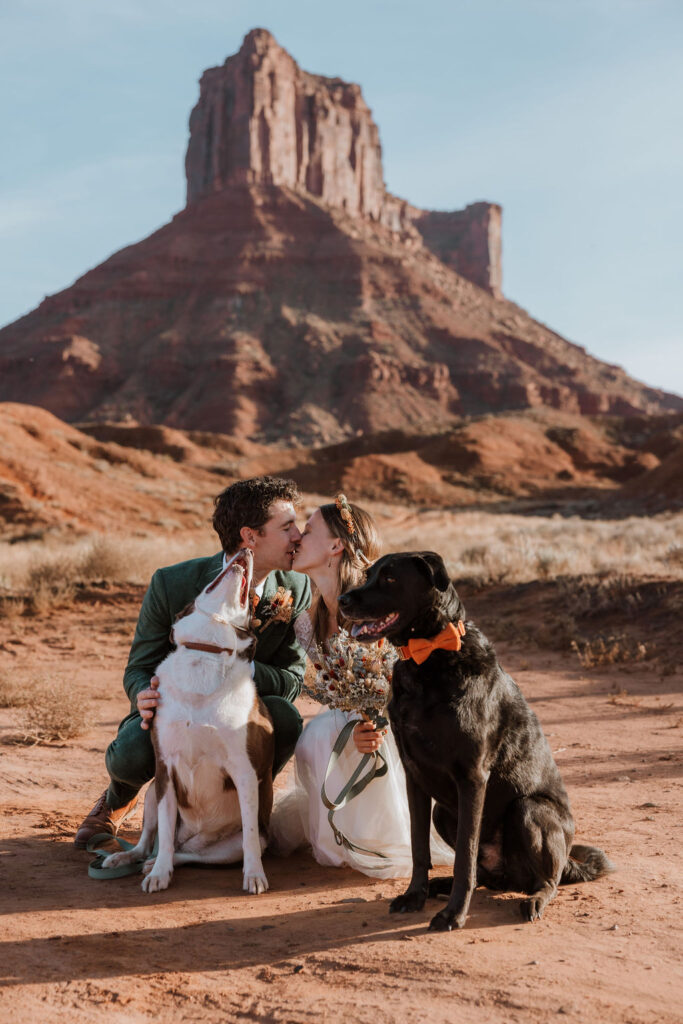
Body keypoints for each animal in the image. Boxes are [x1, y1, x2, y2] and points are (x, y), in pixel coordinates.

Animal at [101, 548, 272, 892]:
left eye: (251, 601)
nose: (246, 551)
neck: (206, 651)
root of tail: (194, 839)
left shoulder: (245, 772)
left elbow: (248, 836)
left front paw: (254, 875)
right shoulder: (166, 768)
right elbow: (165, 833)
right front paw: (158, 875)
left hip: (225, 847)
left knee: (191, 854)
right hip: (152, 793)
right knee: (151, 843)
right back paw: (131, 858)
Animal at [342, 557, 614, 933]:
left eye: (390, 578)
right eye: (369, 575)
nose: (342, 600)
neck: (429, 658)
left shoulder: (472, 777)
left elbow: (464, 857)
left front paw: (454, 914)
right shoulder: (414, 776)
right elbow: (419, 848)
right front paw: (415, 896)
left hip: (529, 810)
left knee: (548, 880)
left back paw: (533, 900)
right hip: (444, 811)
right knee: (487, 876)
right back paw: (439, 887)